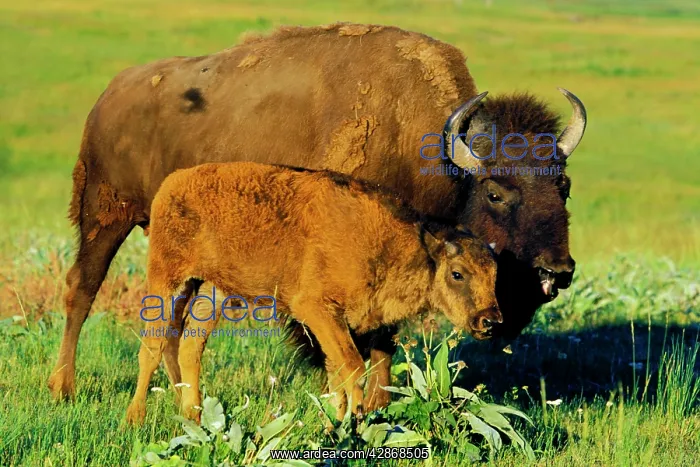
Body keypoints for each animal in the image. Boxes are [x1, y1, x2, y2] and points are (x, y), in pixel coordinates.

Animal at [124, 162, 501, 423]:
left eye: (495, 275)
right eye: (457, 273)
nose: (490, 321)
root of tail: (173, 183)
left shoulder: (337, 322)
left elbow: (337, 373)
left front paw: (336, 424)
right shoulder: (315, 309)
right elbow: (351, 366)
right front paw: (354, 419)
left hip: (214, 290)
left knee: (190, 346)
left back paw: (195, 416)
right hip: (168, 280)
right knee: (153, 346)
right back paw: (135, 418)